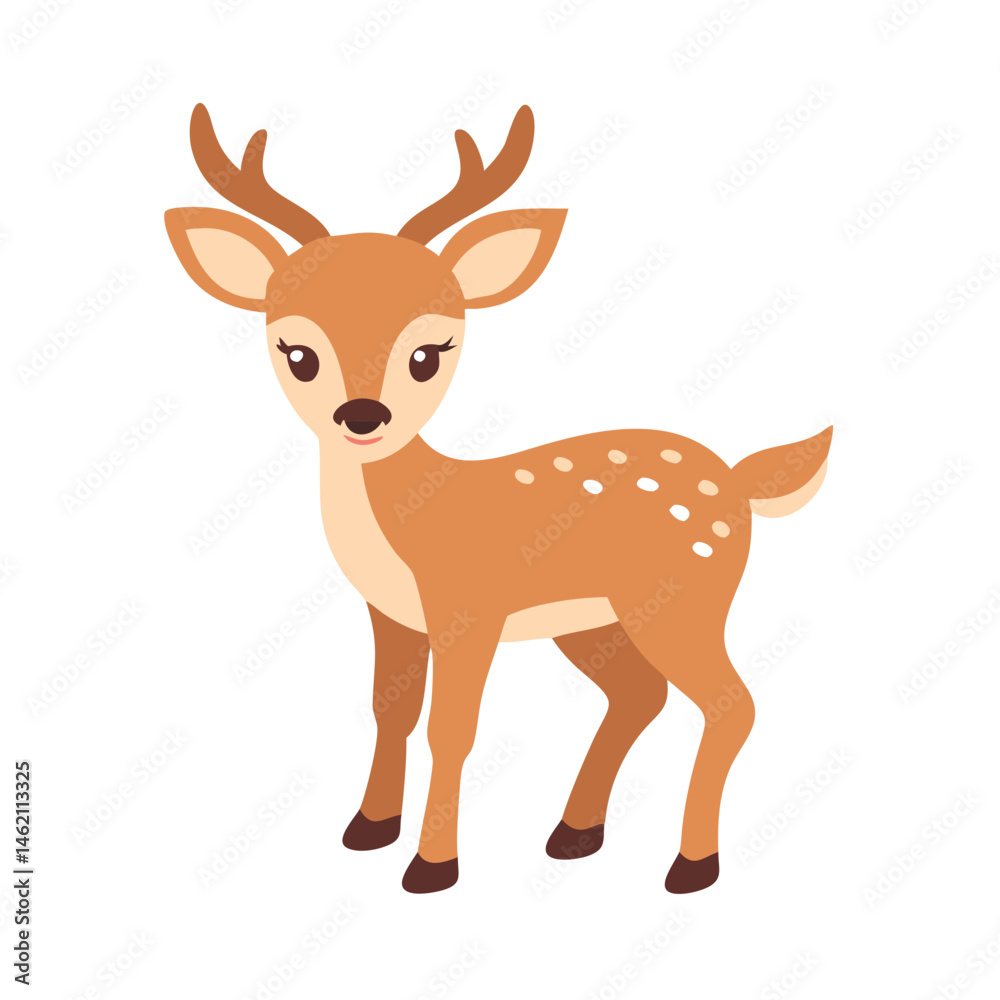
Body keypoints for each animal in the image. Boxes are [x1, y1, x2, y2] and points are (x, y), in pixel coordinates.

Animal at [164, 103, 832, 895]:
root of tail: (738, 480)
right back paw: (575, 834)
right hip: (595, 620)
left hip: (684, 597)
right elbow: (390, 711)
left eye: (429, 353)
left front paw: (431, 865)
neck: (409, 517)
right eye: (297, 352)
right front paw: (368, 828)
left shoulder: (468, 607)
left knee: (733, 704)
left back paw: (691, 865)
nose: (362, 417)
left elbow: (451, 729)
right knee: (641, 697)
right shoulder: (393, 613)